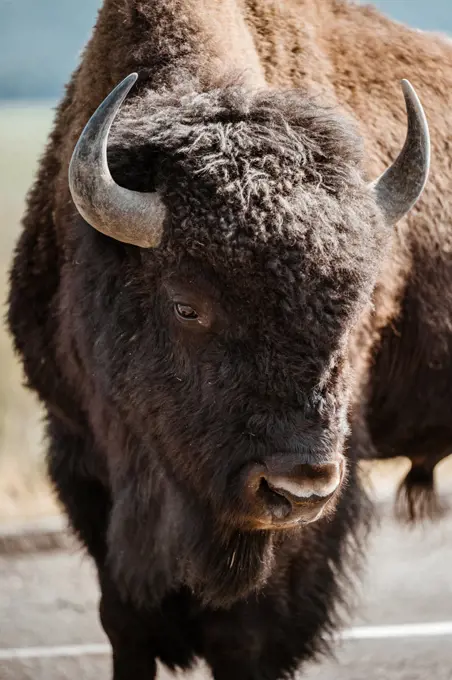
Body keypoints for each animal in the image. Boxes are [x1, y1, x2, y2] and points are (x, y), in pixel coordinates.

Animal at [6, 1, 448, 680]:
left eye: (355, 307)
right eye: (186, 306)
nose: (298, 487)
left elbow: (243, 634)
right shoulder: (80, 451)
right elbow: (124, 619)